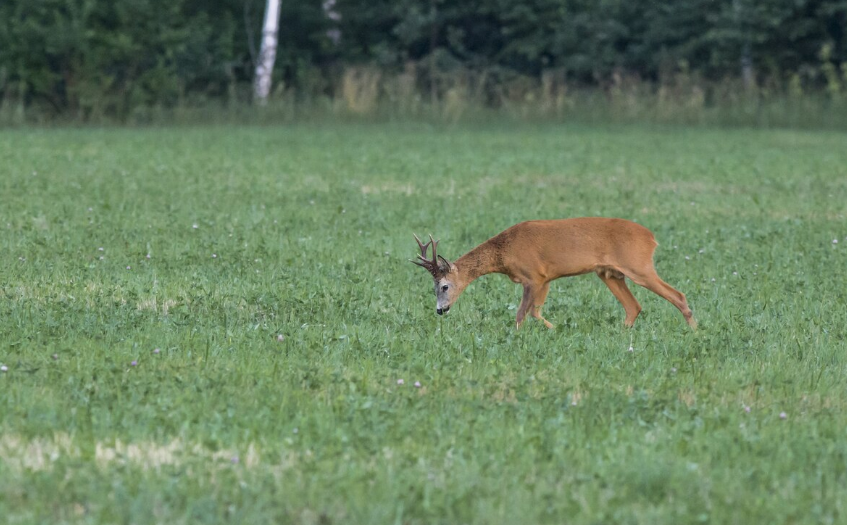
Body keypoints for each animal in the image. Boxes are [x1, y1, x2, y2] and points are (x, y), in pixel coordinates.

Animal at [410, 217, 696, 328]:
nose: (440, 310)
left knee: (678, 295)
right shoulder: (546, 278)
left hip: (639, 265)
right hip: (609, 274)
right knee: (633, 306)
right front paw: (556, 329)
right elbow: (536, 312)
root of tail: (651, 238)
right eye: (433, 288)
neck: (505, 251)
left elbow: (521, 314)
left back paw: (694, 332)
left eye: (444, 286)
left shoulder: (532, 276)